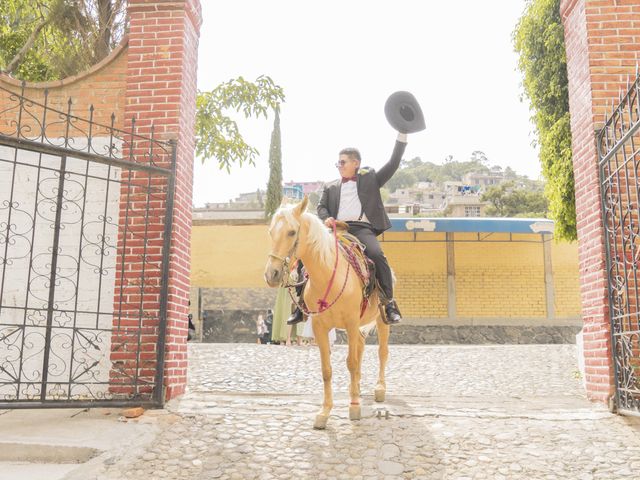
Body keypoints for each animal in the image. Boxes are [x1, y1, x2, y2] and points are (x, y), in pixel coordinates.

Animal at [262, 197, 388, 430]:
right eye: (271, 232)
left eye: (292, 232)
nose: (271, 274)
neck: (329, 274)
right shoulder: (320, 327)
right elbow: (327, 370)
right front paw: (325, 412)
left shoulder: (351, 322)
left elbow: (351, 362)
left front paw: (354, 407)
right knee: (360, 348)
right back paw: (356, 387)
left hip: (381, 320)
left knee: (382, 352)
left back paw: (379, 388)